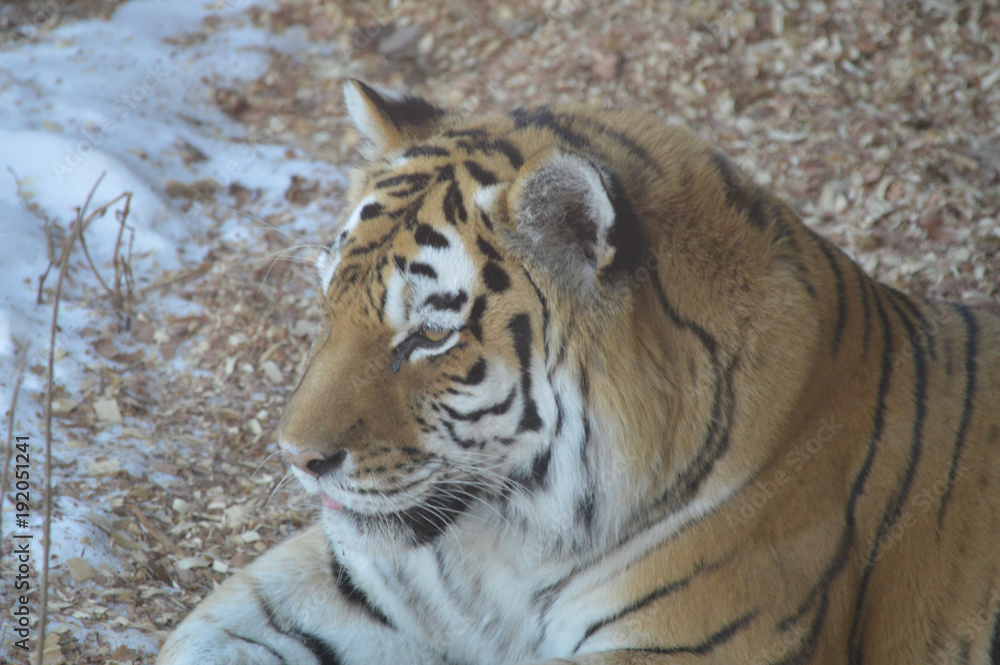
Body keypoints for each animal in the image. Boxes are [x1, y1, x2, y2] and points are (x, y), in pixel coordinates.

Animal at [157, 79, 1000, 665]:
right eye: (327, 302)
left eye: (430, 335)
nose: (297, 458)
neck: (506, 541)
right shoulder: (362, 579)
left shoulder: (684, 642)